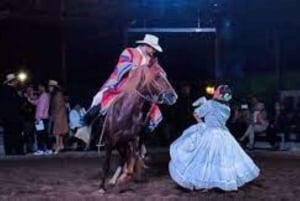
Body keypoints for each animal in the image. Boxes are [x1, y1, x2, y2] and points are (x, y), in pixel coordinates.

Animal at [98, 57, 178, 192]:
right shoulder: (109, 142)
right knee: (123, 158)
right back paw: (113, 180)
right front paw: (102, 187)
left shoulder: (133, 139)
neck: (125, 112)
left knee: (126, 158)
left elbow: (132, 161)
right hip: (119, 144)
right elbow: (106, 164)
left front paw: (124, 179)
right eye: (157, 76)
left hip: (125, 143)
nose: (173, 96)